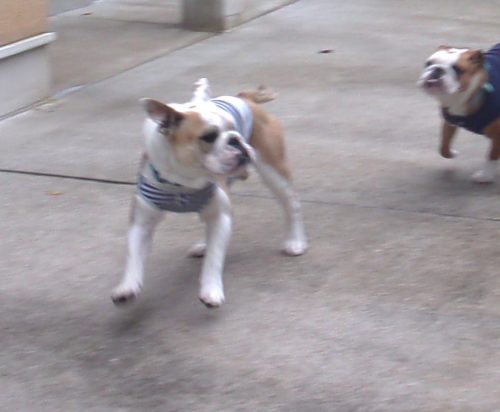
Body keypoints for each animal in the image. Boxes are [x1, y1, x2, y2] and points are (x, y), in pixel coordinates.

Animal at [111, 78, 308, 308]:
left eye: (233, 127)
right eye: (209, 137)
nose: (235, 139)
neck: (183, 181)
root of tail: (244, 98)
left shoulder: (220, 216)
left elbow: (214, 259)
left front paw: (211, 290)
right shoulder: (142, 222)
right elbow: (133, 254)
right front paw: (127, 286)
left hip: (274, 171)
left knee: (291, 204)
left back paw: (295, 241)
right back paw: (203, 244)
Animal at [417, 44, 500, 183]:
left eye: (457, 69)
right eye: (428, 63)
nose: (437, 69)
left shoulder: (498, 135)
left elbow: (492, 156)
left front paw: (485, 176)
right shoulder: (449, 123)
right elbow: (443, 146)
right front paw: (452, 153)